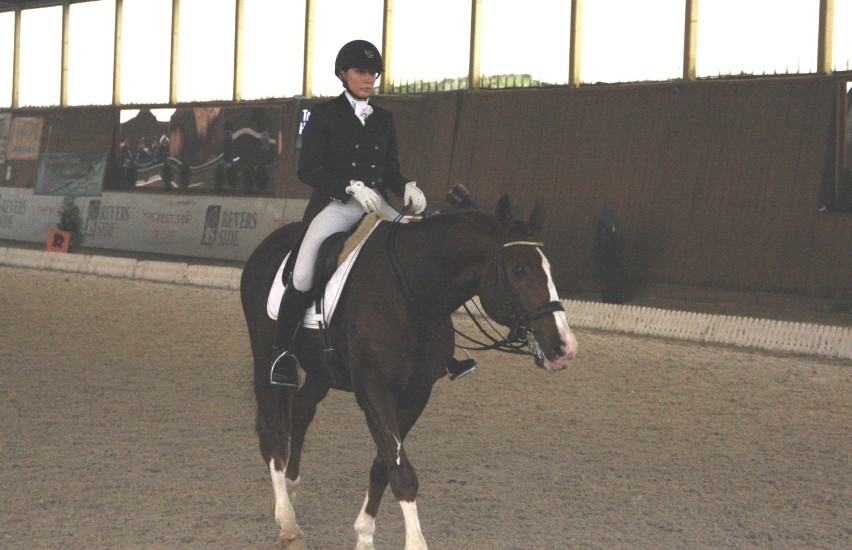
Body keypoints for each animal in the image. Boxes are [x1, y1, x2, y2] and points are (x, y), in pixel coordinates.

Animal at [238, 195, 580, 550]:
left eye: (550, 270)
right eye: (518, 270)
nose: (565, 348)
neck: (410, 294)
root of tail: (269, 244)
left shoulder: (417, 393)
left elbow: (384, 463)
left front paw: (364, 534)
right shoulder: (374, 392)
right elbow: (401, 472)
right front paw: (413, 542)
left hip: (321, 371)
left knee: (302, 411)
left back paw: (289, 490)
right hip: (266, 359)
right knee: (273, 433)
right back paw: (288, 522)